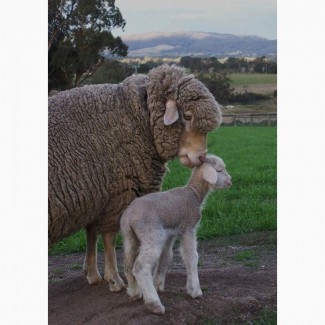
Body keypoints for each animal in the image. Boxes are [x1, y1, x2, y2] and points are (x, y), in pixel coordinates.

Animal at [48, 63, 221, 288]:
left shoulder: (99, 195)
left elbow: (92, 234)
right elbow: (109, 237)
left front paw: (93, 274)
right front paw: (114, 279)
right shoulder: (119, 193)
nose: (201, 157)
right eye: (188, 116)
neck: (138, 118)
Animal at [121, 155, 230, 314]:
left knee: (128, 264)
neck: (194, 193)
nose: (230, 181)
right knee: (141, 267)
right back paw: (154, 303)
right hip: (151, 234)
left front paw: (158, 283)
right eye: (219, 170)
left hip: (130, 237)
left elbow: (167, 257)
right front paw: (195, 290)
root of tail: (129, 216)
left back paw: (135, 292)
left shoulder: (169, 235)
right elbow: (191, 256)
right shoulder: (188, 229)